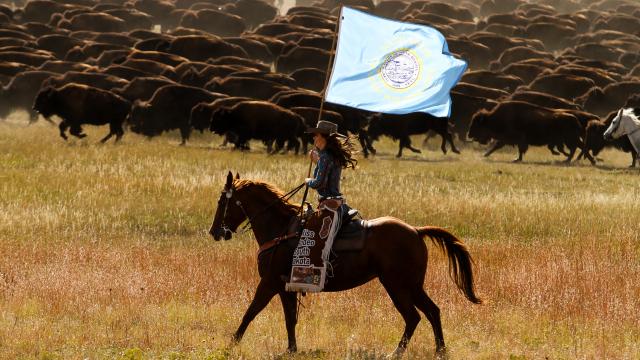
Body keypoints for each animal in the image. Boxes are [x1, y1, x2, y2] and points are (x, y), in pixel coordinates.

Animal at [209, 172, 480, 358]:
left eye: (222, 201)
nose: (214, 232)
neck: (281, 229)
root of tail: (415, 230)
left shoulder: (269, 283)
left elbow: (251, 311)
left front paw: (231, 344)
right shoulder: (286, 286)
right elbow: (289, 319)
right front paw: (291, 349)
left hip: (398, 286)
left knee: (413, 316)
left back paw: (397, 353)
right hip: (411, 286)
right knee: (432, 311)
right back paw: (439, 351)